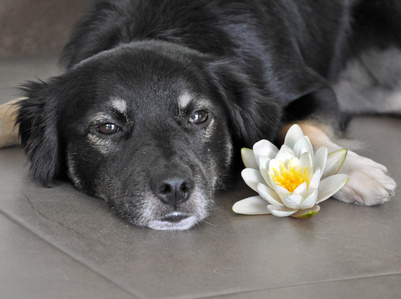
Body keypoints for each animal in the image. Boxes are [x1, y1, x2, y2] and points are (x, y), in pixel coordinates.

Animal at [0, 0, 396, 231]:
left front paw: (355, 171)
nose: (176, 190)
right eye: (107, 127)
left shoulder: (316, 88)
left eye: (199, 117)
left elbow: (300, 125)